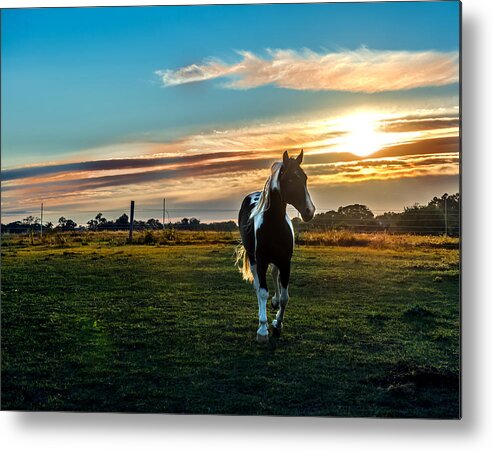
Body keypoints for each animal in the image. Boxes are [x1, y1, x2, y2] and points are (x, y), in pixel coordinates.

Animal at [235, 150, 316, 344]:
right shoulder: (262, 260)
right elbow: (262, 292)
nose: (309, 211)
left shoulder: (286, 262)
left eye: (305, 178)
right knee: (258, 286)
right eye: (290, 180)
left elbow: (285, 297)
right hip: (253, 258)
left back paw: (275, 301)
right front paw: (263, 329)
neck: (274, 224)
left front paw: (277, 324)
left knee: (274, 275)